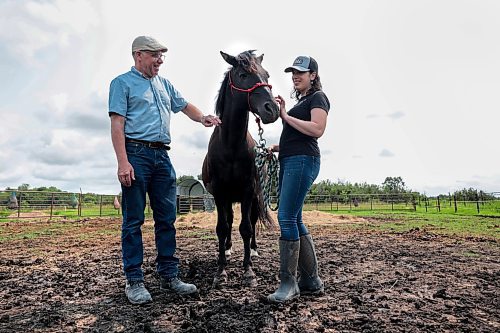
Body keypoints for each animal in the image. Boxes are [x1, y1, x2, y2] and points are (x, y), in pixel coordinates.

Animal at [203, 50, 282, 286]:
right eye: (242, 75)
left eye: (266, 74)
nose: (272, 109)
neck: (230, 146)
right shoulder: (220, 193)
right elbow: (222, 228)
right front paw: (221, 271)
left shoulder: (248, 191)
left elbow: (246, 228)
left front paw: (248, 271)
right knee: (228, 221)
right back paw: (228, 250)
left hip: (254, 198)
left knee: (252, 222)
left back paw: (253, 251)